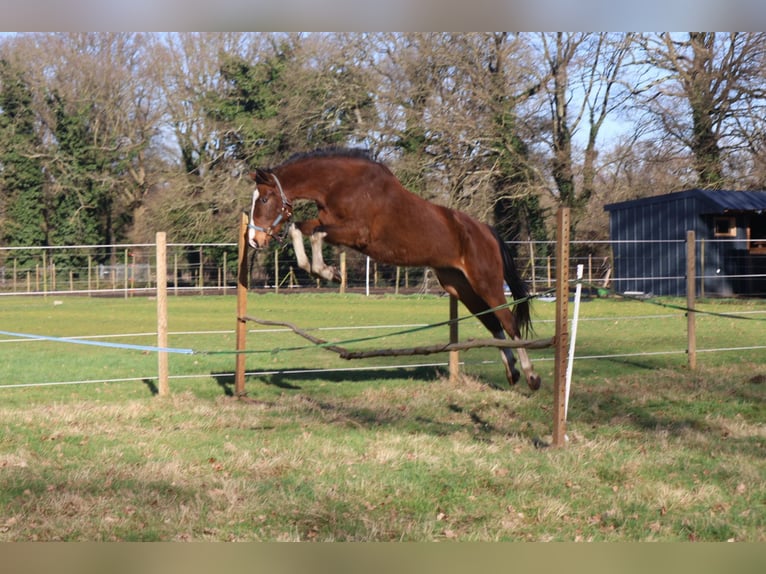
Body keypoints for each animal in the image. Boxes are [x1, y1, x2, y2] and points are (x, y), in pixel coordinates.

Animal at [249, 148, 544, 392]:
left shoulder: (356, 233)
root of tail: (486, 231)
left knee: (509, 322)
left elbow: (316, 234)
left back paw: (531, 376)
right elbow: (298, 229)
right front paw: (319, 270)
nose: (255, 240)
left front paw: (328, 272)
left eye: (263, 199)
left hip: (486, 282)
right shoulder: (329, 224)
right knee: (493, 323)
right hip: (460, 286)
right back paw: (512, 373)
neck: (342, 185)